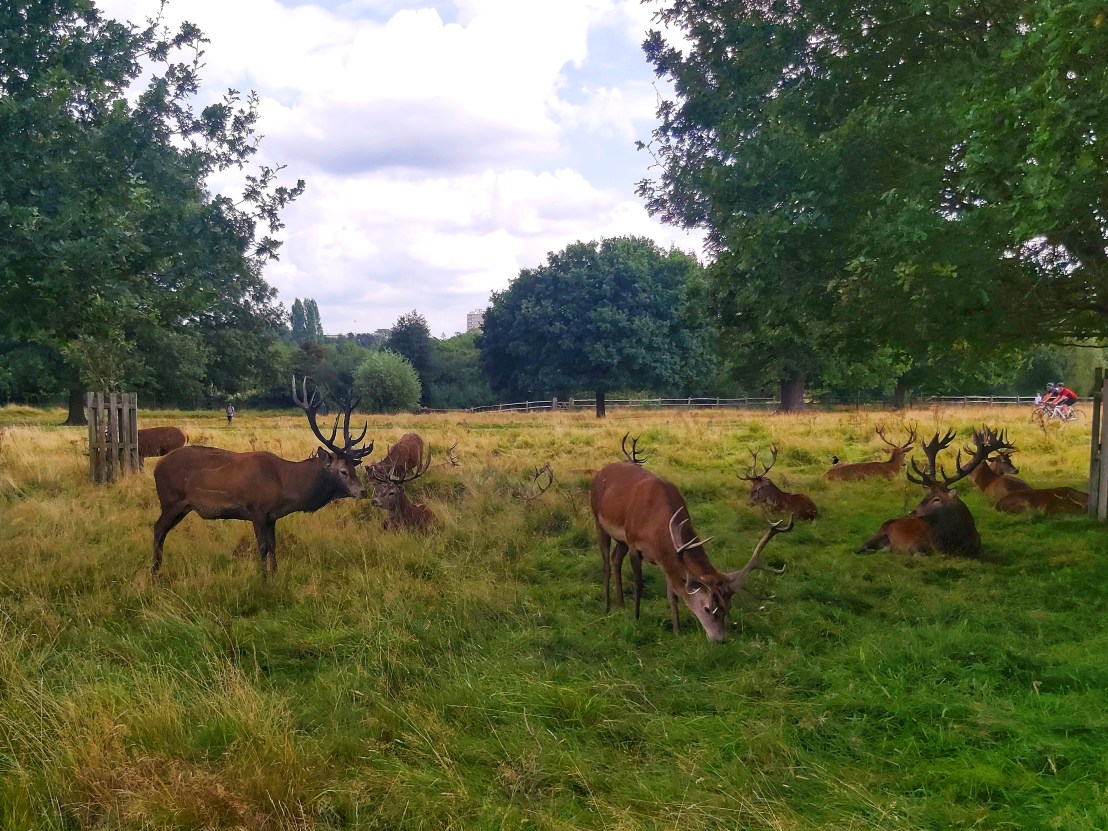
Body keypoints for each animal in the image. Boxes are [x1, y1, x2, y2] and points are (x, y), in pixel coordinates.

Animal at [152, 377, 373, 578]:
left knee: (163, 531)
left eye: (354, 467)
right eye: (343, 471)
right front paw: (263, 579)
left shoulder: (272, 516)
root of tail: (157, 466)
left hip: (182, 506)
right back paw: (154, 571)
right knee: (157, 528)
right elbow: (263, 547)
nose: (363, 491)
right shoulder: (256, 509)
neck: (285, 485)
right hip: (171, 499)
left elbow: (274, 546)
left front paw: (275, 575)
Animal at [590, 460, 791, 642]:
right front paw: (637, 618)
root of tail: (602, 471)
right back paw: (608, 606)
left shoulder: (667, 558)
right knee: (606, 562)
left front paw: (676, 629)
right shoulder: (633, 542)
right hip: (599, 521)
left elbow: (673, 594)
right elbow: (639, 583)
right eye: (707, 608)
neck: (655, 530)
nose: (720, 639)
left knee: (615, 559)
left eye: (729, 606)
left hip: (620, 540)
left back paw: (620, 604)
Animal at [857, 427, 1008, 557]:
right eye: (925, 495)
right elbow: (920, 554)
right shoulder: (917, 545)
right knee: (860, 548)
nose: (911, 512)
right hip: (877, 534)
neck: (954, 545)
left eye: (937, 499)